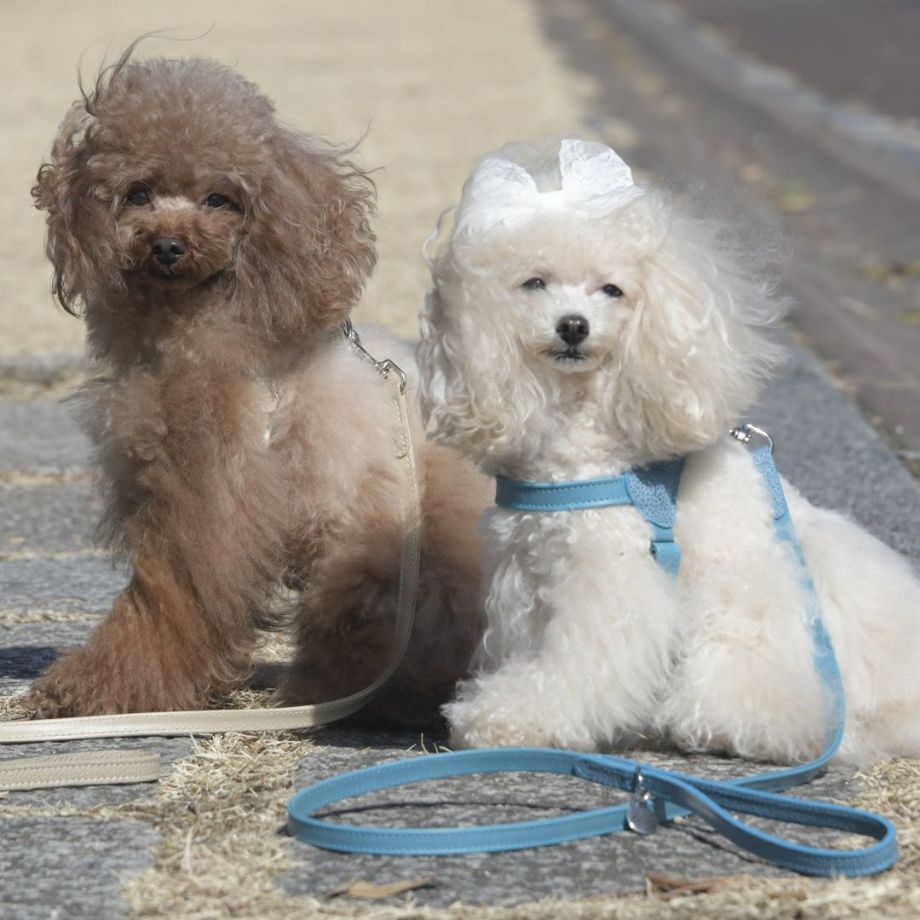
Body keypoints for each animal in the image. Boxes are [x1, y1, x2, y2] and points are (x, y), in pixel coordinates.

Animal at [28, 49, 490, 723]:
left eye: (220, 199)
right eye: (137, 193)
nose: (168, 247)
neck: (197, 319)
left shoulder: (204, 495)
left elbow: (166, 601)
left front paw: (100, 689)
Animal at [418, 138, 920, 764]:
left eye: (613, 290)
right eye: (534, 283)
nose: (574, 326)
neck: (583, 441)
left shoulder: (610, 578)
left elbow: (574, 668)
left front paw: (509, 720)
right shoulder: (529, 573)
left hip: (742, 614)